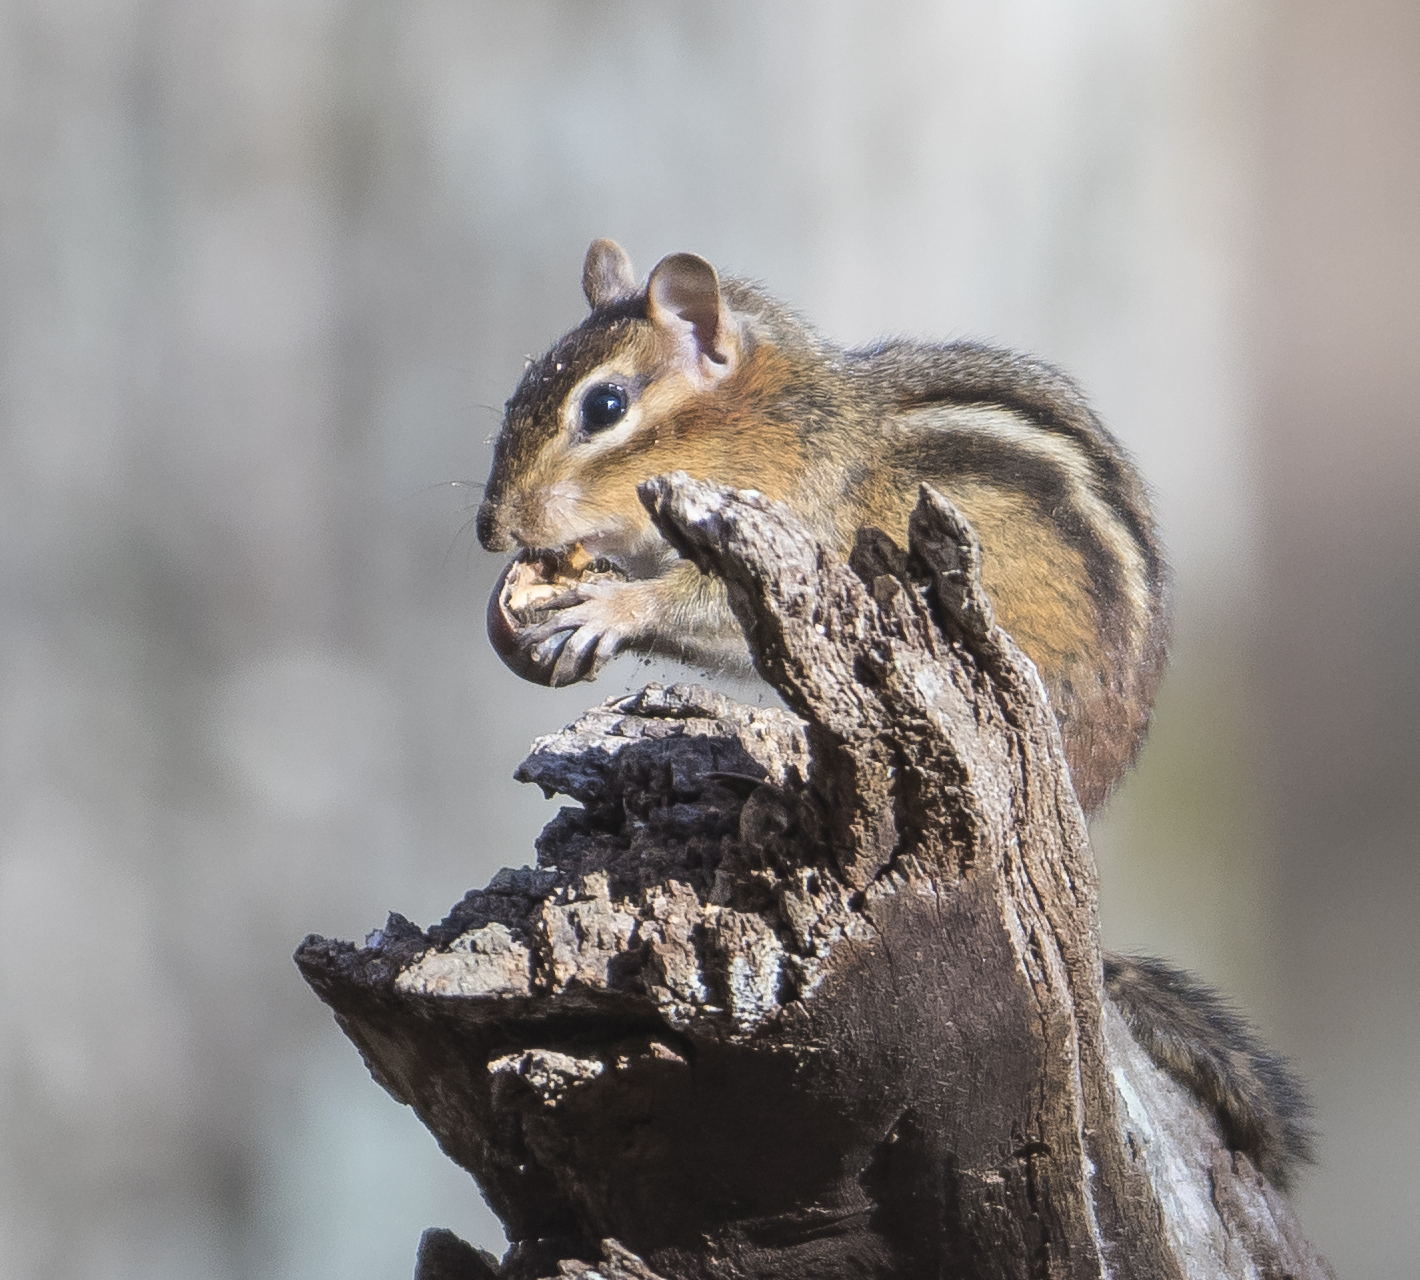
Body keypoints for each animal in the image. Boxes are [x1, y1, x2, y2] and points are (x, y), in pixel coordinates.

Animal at [475, 238, 1312, 1186]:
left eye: (605, 405)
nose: (490, 528)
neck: (769, 417)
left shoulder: (796, 528)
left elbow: (703, 606)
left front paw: (607, 609)